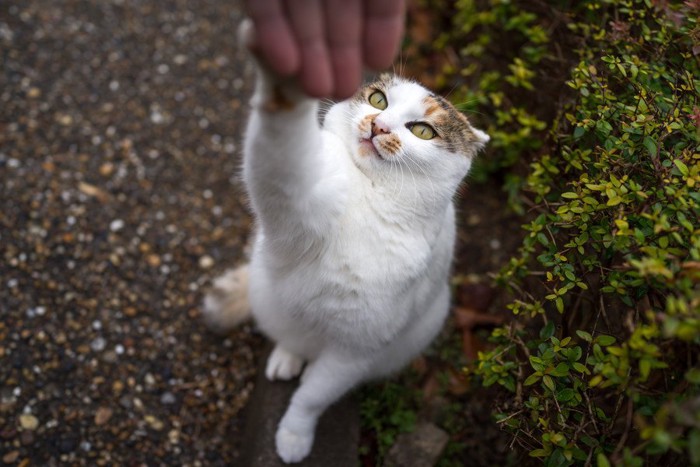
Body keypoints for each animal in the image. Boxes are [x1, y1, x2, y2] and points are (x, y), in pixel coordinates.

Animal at [201, 21, 486, 464]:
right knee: (290, 335)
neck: (369, 194)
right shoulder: (295, 202)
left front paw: (293, 437)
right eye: (377, 99)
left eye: (423, 130)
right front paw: (284, 65)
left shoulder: (354, 352)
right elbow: (277, 159)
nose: (378, 126)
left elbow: (312, 397)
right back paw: (285, 358)